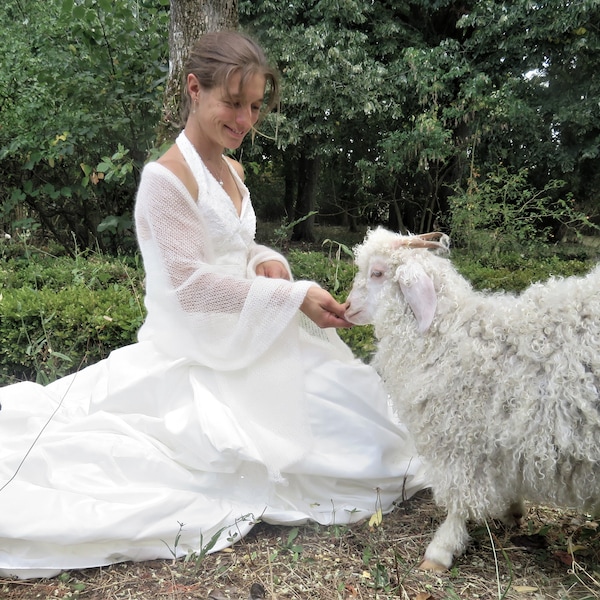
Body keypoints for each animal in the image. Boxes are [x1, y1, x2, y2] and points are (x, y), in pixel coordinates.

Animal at [344, 226, 600, 572]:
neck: (450, 337)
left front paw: (440, 551)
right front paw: (512, 510)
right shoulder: (504, 440)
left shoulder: (461, 439)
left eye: (378, 273)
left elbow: (459, 496)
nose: (346, 308)